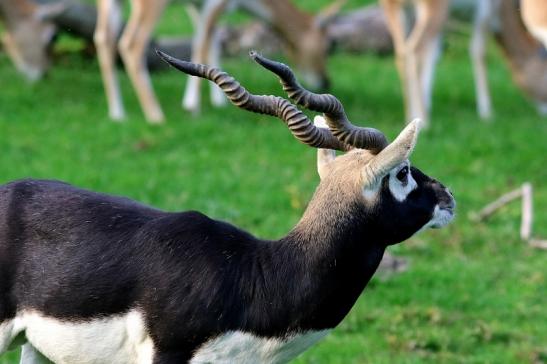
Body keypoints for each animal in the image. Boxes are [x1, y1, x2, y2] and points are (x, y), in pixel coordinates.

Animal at [95, 0, 342, 123]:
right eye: (328, 45)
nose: (326, 81)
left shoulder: (197, 6)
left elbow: (211, 42)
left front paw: (218, 102)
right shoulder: (213, 5)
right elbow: (201, 43)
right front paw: (192, 107)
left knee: (103, 37)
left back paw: (117, 114)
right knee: (131, 43)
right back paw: (156, 116)